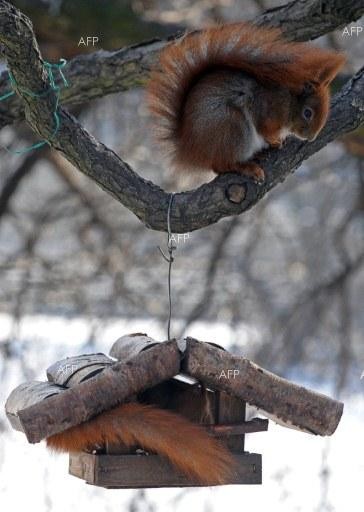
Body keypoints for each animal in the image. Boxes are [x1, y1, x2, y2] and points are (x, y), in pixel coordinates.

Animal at [146, 22, 346, 182]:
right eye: (308, 113)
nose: (311, 138)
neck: (289, 101)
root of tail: (189, 149)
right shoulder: (267, 108)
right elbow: (264, 128)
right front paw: (275, 140)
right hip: (232, 127)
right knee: (221, 165)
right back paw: (247, 168)